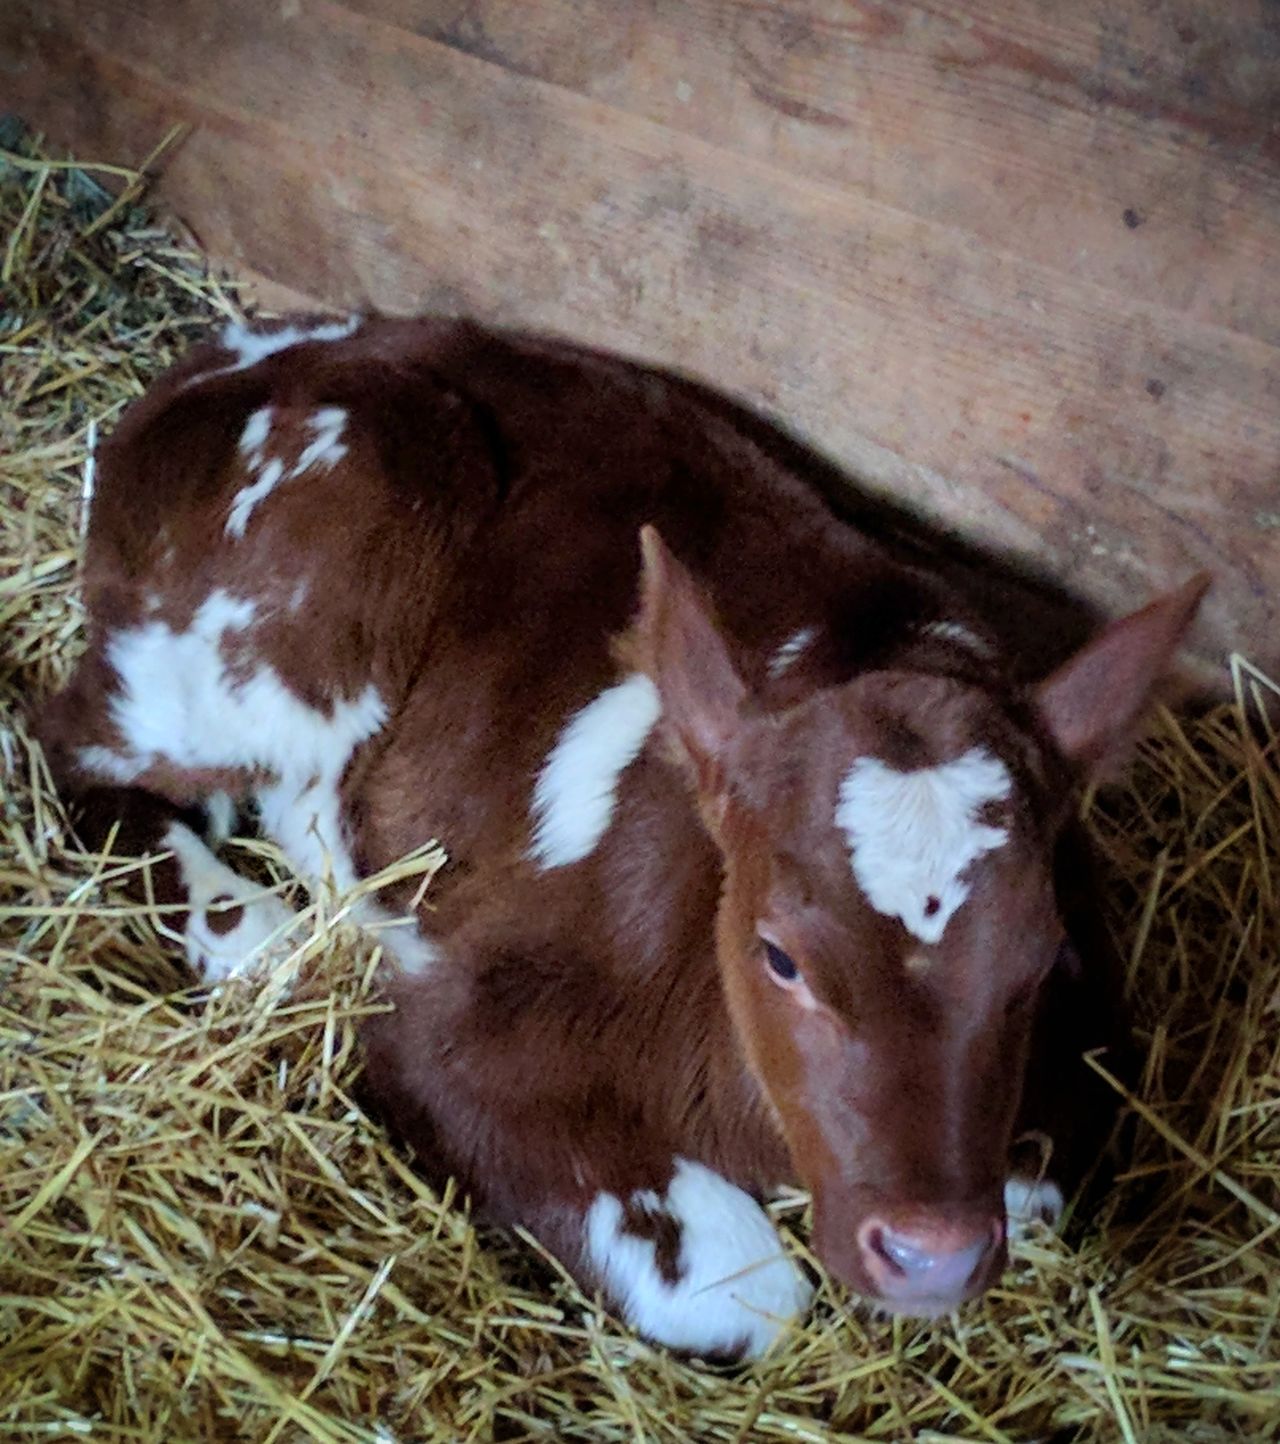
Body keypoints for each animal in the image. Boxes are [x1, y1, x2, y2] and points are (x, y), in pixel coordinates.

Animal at [35, 310, 1207, 1357]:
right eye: (779, 954)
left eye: (1038, 958)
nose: (931, 1254)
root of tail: (209, 362)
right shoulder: (459, 1026)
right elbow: (745, 1292)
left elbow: (1040, 1184)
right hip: (311, 566)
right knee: (70, 745)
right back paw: (254, 934)